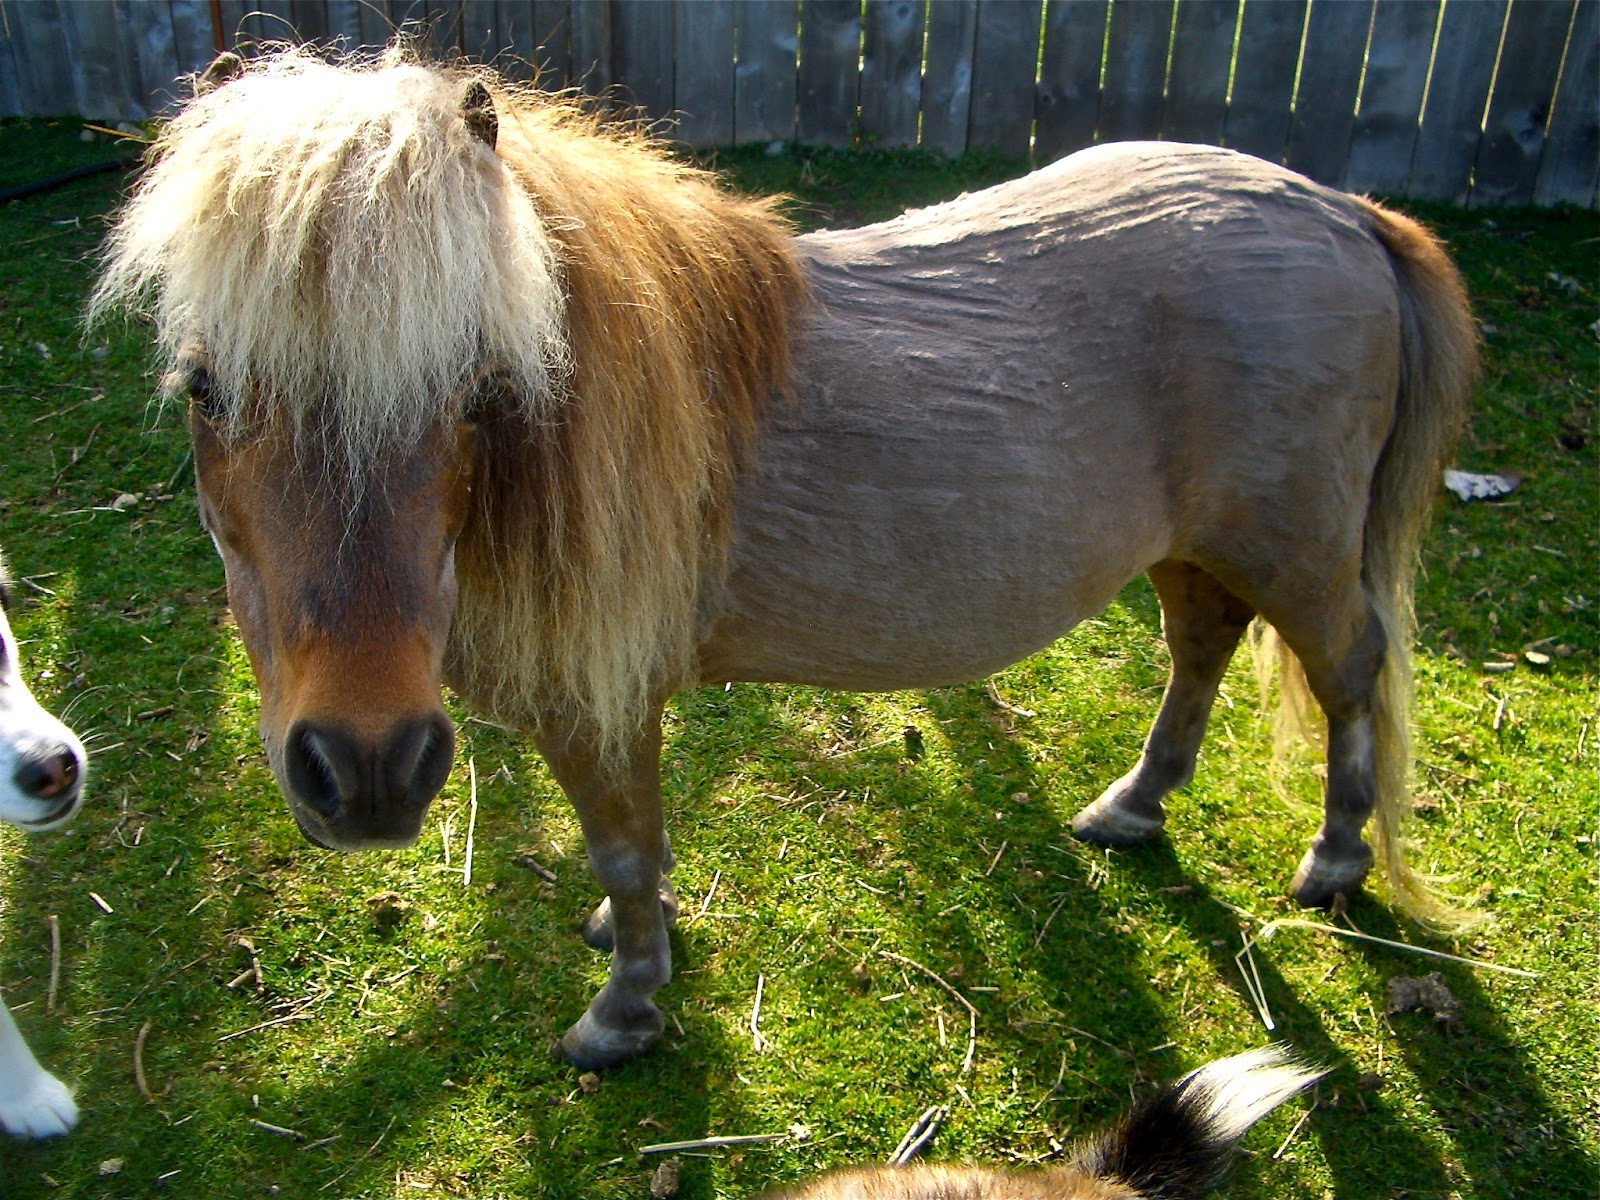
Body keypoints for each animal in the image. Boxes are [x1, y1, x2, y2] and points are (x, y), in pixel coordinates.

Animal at [92, 47, 1477, 1070]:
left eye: (476, 387)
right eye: (205, 387)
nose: (365, 770)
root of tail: (1337, 213)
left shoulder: (597, 706)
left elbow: (624, 846)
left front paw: (624, 1008)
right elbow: (630, 852)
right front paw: (629, 944)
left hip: (1295, 551)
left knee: (1346, 672)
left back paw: (1335, 861)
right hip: (1195, 547)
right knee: (1199, 648)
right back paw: (1134, 808)